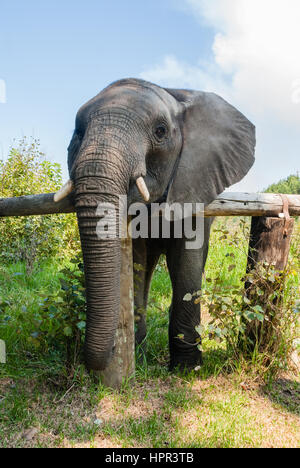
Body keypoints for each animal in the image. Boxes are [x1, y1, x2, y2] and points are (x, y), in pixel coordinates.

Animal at [57, 77, 256, 372]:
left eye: (160, 131)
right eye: (79, 132)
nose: (109, 351)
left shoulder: (194, 181)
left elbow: (186, 260)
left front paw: (187, 369)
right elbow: (137, 261)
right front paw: (138, 358)